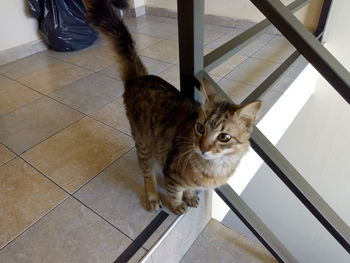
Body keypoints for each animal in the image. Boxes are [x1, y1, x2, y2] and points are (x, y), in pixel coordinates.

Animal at [86, 0, 262, 214]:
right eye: (200, 128)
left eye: (223, 137)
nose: (202, 147)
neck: (215, 167)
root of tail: (140, 78)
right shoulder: (171, 174)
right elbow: (175, 193)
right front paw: (178, 205)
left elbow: (190, 188)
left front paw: (190, 197)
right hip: (143, 143)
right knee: (147, 175)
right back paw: (153, 198)